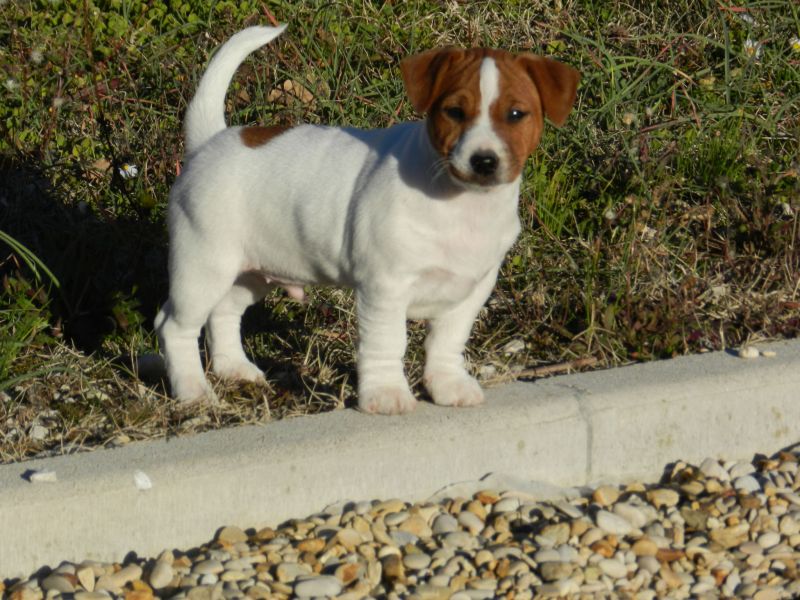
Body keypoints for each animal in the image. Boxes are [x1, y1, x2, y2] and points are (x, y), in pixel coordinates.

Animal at [155, 25, 580, 414]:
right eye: (455, 112)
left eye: (515, 114)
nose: (484, 160)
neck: (461, 203)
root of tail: (209, 142)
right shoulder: (384, 288)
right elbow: (387, 343)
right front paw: (387, 395)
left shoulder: (471, 289)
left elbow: (447, 341)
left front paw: (447, 385)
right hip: (204, 265)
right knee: (174, 326)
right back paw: (193, 392)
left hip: (250, 273)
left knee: (223, 313)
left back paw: (234, 370)